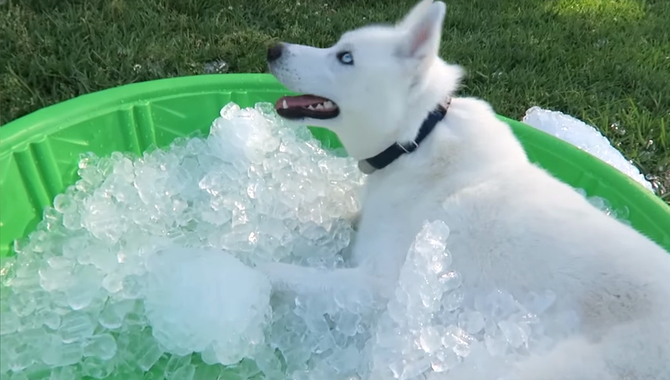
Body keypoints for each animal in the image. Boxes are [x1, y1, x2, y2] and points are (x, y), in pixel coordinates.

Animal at [264, 1, 670, 378]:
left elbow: (280, 274)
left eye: (345, 57)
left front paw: (250, 276)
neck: (417, 137)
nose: (273, 49)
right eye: (339, 46)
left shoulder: (377, 285)